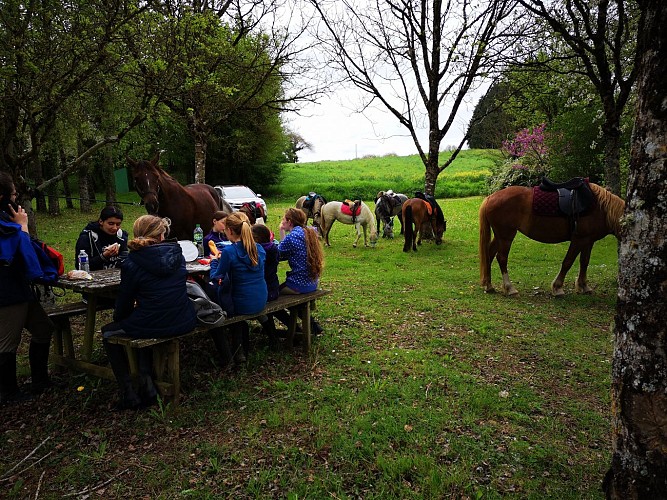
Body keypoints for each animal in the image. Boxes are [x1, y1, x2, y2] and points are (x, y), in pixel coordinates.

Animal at [480, 182, 628, 294]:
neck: (601, 208)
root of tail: (490, 197)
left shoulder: (588, 241)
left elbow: (584, 262)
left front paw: (583, 286)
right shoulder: (578, 240)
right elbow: (568, 262)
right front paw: (557, 287)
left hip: (499, 236)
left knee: (489, 254)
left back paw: (489, 286)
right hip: (506, 236)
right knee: (502, 258)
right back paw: (509, 288)